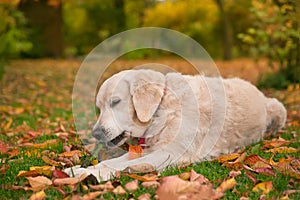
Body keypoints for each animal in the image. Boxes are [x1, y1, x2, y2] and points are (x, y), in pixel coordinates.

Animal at [65, 69, 286, 182]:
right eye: (99, 107)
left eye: (115, 102)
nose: (95, 133)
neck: (162, 108)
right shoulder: (148, 149)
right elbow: (115, 161)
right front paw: (80, 169)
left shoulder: (172, 152)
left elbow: (120, 165)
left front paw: (91, 174)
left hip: (279, 108)